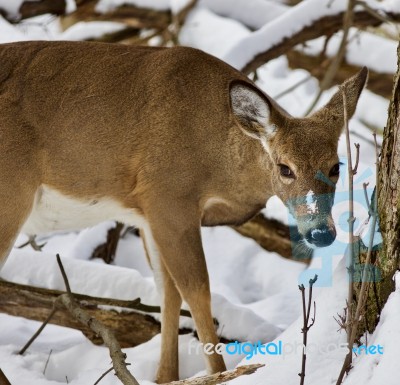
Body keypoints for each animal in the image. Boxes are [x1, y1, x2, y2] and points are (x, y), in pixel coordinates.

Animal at [0, 40, 368, 382]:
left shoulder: (147, 212)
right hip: (12, 190)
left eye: (336, 166)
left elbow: (168, 293)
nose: (321, 232)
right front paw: (218, 374)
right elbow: (197, 290)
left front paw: (165, 376)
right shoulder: (169, 196)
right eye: (285, 168)